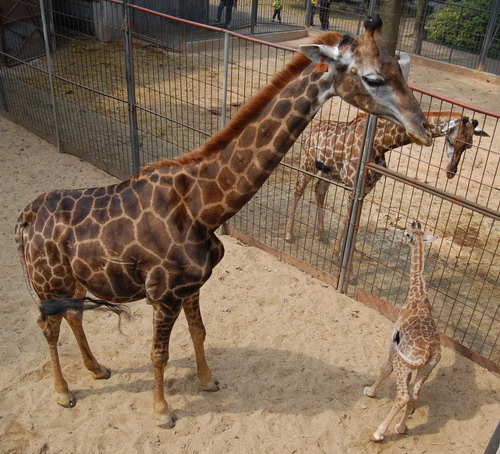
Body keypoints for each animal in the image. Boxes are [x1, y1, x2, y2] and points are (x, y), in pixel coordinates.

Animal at [364, 222, 442, 442]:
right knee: (414, 395)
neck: (417, 293)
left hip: (404, 363)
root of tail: (429, 353)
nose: (402, 235)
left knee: (403, 396)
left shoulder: (393, 342)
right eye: (412, 230)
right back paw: (400, 427)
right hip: (427, 368)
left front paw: (370, 391)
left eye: (407, 233)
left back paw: (379, 433)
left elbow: (384, 368)